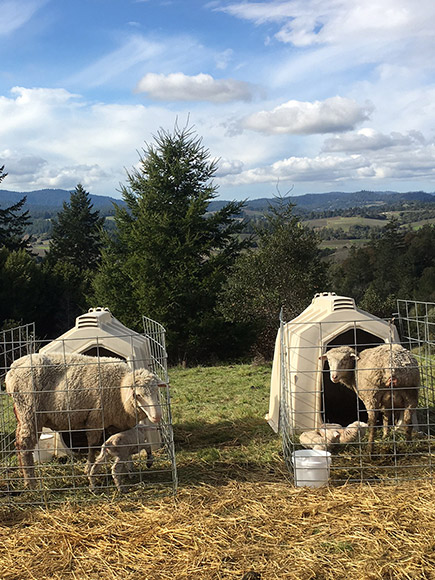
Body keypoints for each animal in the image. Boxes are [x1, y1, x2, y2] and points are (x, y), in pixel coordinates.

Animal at [5, 352, 164, 488]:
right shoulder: (95, 419)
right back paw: (31, 482)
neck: (119, 389)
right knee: (25, 446)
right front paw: (89, 468)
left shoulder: (118, 424)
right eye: (138, 395)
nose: (157, 416)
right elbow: (92, 446)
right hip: (30, 412)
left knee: (18, 443)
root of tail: (12, 369)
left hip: (22, 415)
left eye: (157, 391)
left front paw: (130, 470)